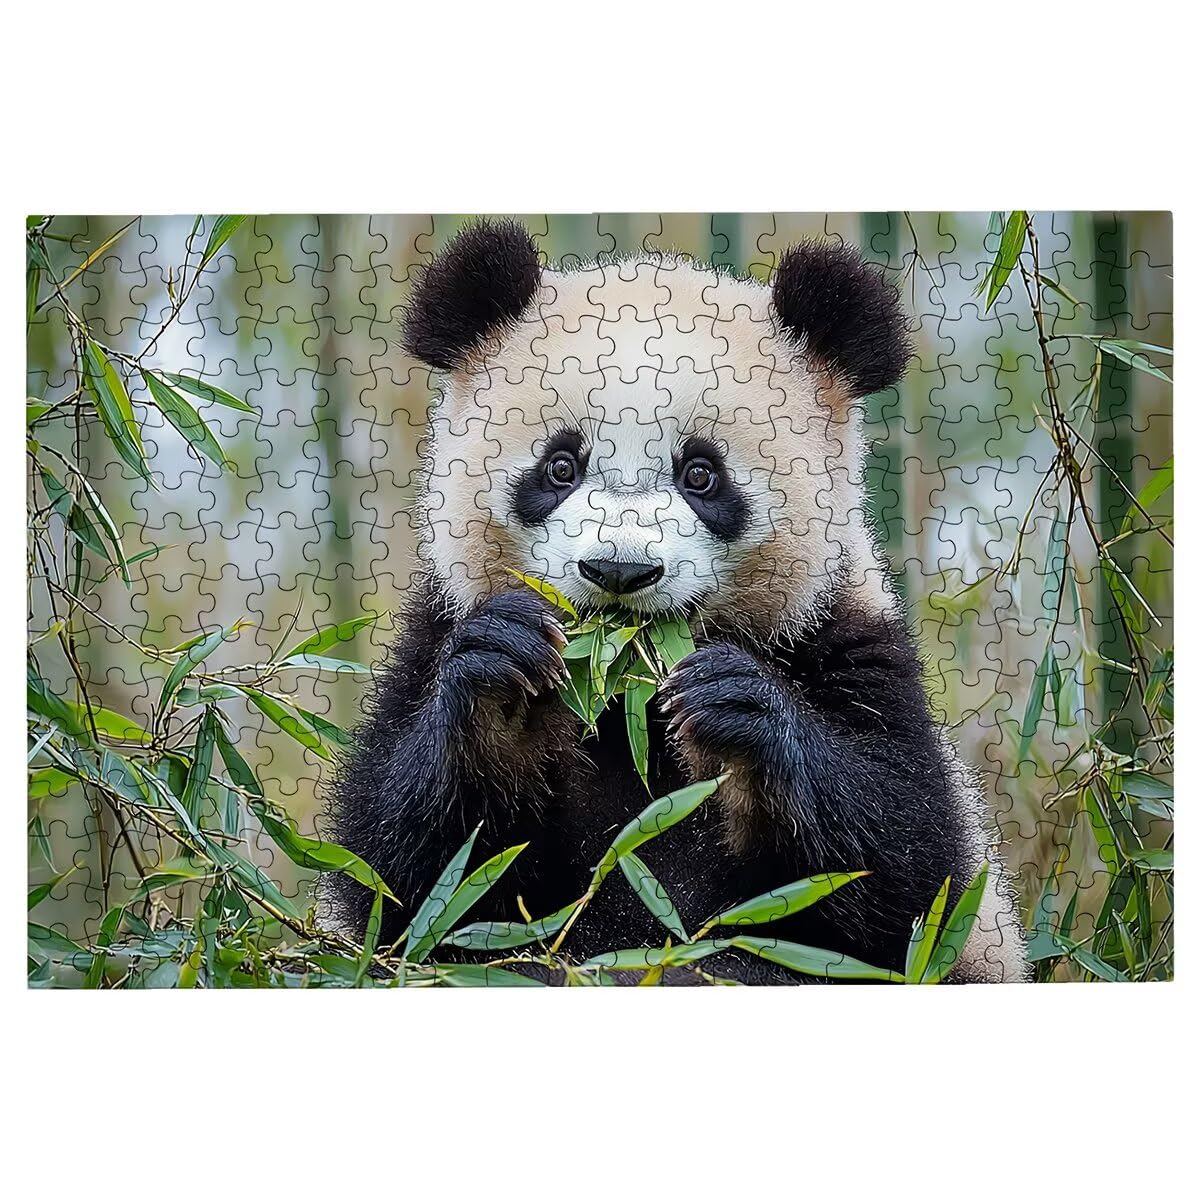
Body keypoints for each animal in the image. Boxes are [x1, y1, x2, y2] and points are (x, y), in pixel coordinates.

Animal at [322, 219, 1028, 983]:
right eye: (560, 466)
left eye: (701, 474)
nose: (619, 570)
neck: (624, 705)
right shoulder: (435, 630)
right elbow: (404, 882)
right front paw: (503, 677)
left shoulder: (845, 639)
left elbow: (911, 882)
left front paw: (735, 706)